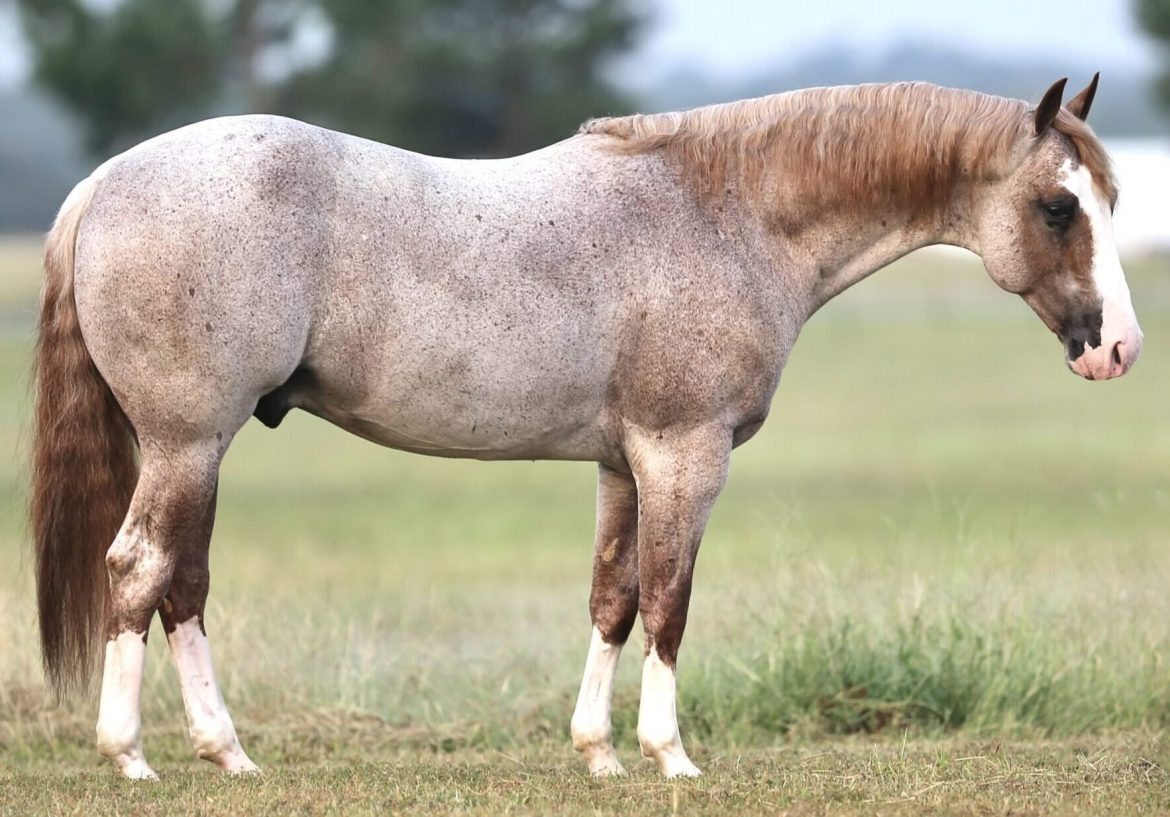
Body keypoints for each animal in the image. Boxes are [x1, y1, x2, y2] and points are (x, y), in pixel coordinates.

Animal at [31, 76, 1140, 780]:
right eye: (1057, 207)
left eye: (1110, 196)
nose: (1118, 349)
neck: (722, 213)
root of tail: (104, 181)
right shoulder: (685, 456)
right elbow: (671, 602)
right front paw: (670, 755)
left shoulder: (622, 463)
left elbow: (614, 597)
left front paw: (598, 751)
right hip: (188, 442)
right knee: (138, 568)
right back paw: (131, 756)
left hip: (201, 451)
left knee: (183, 586)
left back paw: (228, 751)